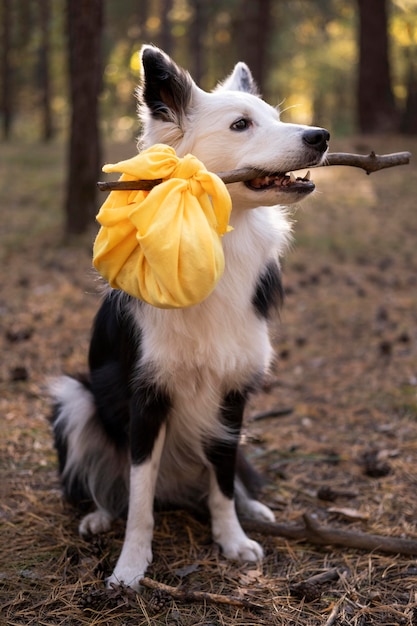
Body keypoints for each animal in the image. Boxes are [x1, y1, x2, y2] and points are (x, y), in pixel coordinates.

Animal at [49, 46, 328, 588]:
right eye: (241, 125)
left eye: (276, 118)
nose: (320, 136)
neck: (213, 238)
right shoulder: (147, 395)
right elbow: (139, 496)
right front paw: (131, 565)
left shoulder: (232, 393)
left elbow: (222, 479)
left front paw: (232, 538)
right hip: (75, 399)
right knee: (106, 486)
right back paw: (96, 516)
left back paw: (253, 507)